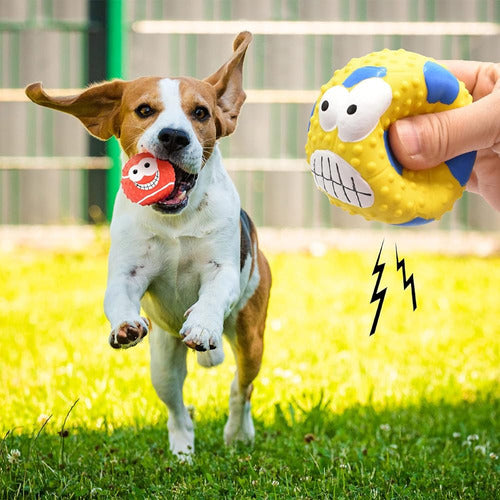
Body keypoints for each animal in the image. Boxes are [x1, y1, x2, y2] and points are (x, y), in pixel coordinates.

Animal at [25, 31, 272, 458]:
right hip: (163, 364)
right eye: (144, 110)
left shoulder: (222, 272)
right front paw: (125, 325)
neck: (175, 220)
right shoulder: (127, 273)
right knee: (178, 410)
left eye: (200, 113)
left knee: (240, 389)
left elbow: (211, 295)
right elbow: (119, 298)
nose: (173, 136)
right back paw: (182, 451)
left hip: (250, 338)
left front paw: (202, 324)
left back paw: (238, 434)